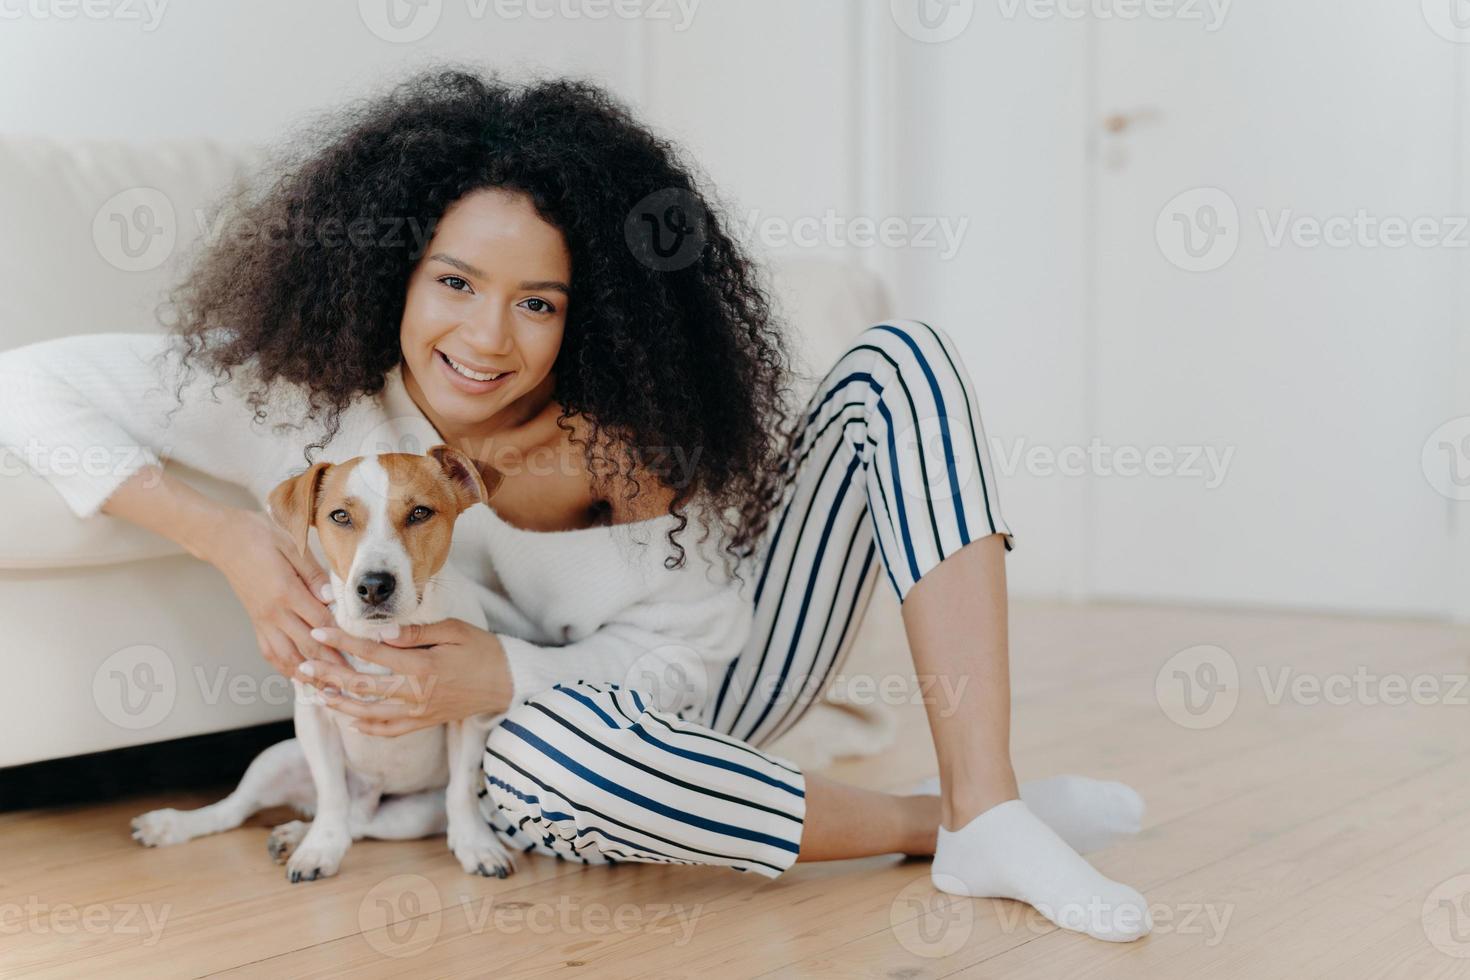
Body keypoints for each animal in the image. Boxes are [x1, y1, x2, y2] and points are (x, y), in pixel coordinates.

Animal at [129, 449, 517, 887]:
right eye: (340, 516)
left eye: (420, 512)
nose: (374, 586)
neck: (380, 637)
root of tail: (369, 795)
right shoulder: (314, 717)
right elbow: (331, 793)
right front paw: (319, 849)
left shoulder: (466, 716)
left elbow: (461, 792)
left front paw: (476, 845)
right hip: (277, 760)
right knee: (236, 808)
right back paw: (176, 825)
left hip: (413, 813)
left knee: (361, 824)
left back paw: (294, 835)